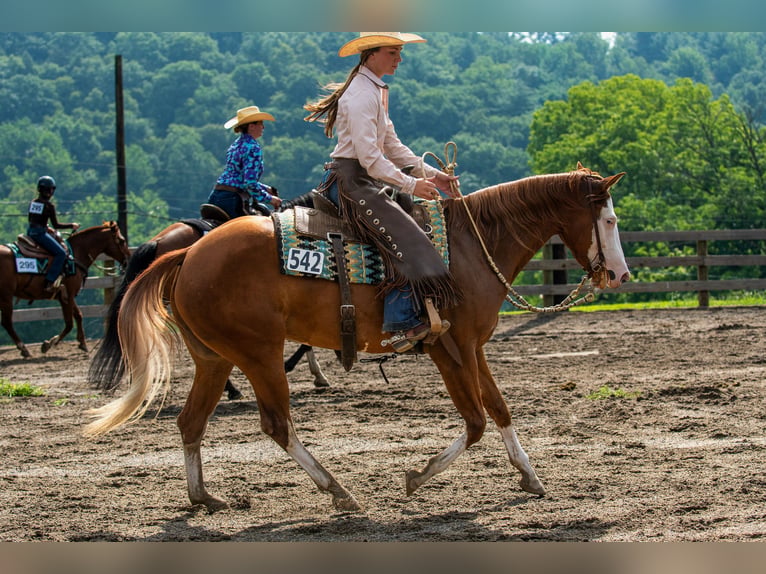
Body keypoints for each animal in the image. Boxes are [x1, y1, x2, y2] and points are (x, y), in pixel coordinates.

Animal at [0, 221, 131, 358]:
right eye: (122, 240)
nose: (128, 259)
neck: (76, 254)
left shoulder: (68, 296)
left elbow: (78, 315)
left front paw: (82, 343)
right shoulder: (67, 296)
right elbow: (69, 323)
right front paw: (50, 343)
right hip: (6, 296)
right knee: (7, 322)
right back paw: (24, 349)